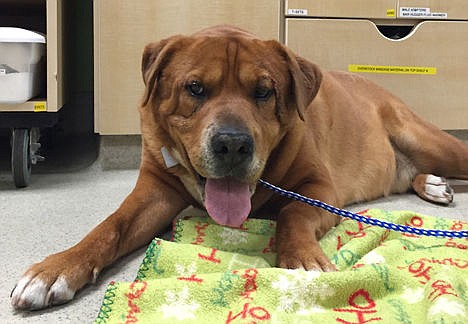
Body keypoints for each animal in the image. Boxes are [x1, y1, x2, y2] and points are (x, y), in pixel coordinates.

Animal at [10, 24, 468, 308]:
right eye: (195, 88)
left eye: (264, 92)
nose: (232, 144)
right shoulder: (154, 190)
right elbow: (110, 226)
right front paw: (55, 269)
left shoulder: (318, 188)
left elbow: (293, 213)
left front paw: (302, 260)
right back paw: (431, 184)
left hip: (431, 140)